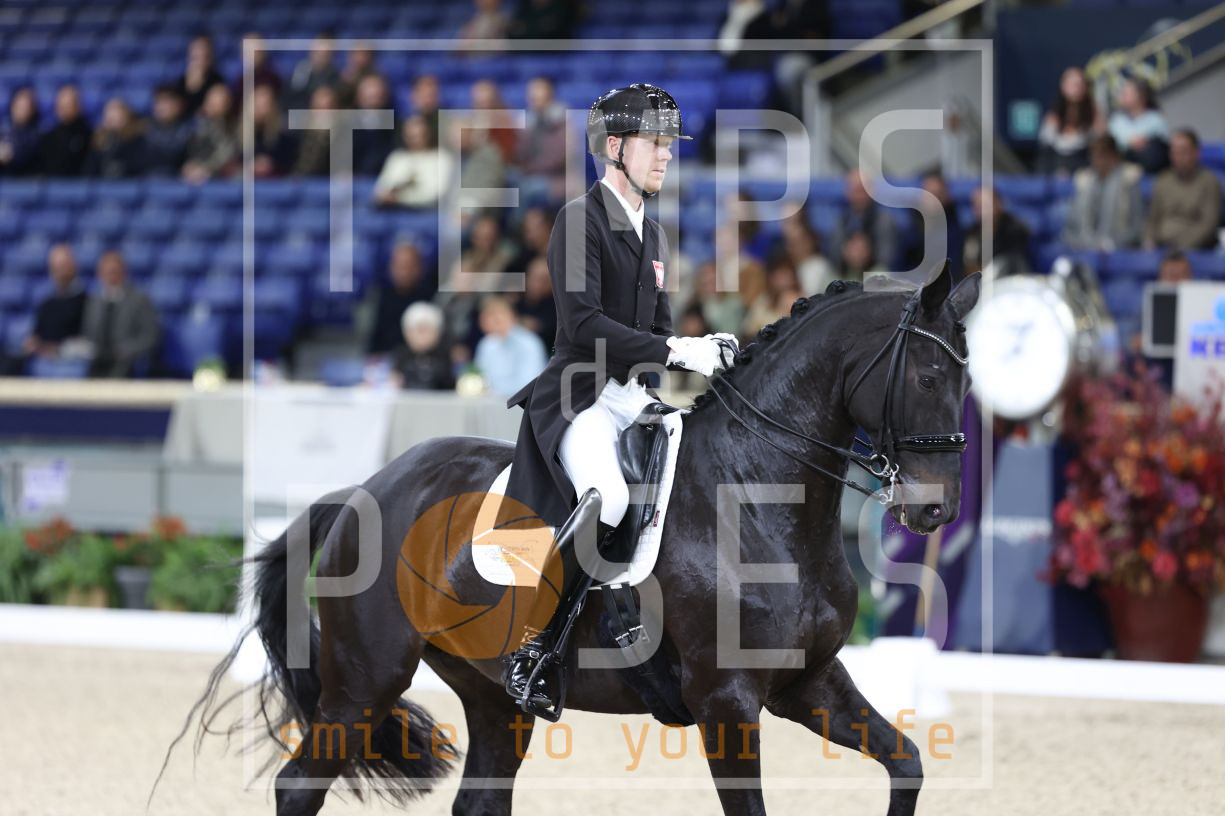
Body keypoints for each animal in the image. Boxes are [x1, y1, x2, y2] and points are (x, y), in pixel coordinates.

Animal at [164, 264, 980, 816]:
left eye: (965, 381)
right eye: (928, 375)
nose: (934, 510)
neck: (758, 497)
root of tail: (365, 489)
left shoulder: (808, 682)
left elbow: (907, 763)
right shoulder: (727, 701)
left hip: (492, 693)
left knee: (478, 798)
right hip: (362, 685)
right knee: (298, 787)